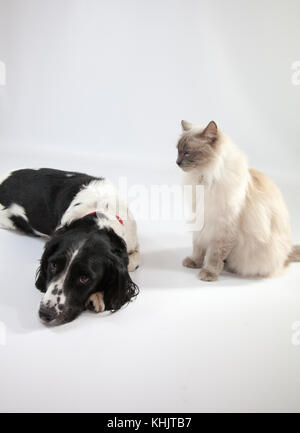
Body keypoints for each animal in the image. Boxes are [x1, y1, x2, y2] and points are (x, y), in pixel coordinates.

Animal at [177, 120, 298, 280]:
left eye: (187, 152)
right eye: (178, 150)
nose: (177, 162)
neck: (204, 177)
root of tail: (287, 253)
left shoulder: (222, 228)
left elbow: (214, 255)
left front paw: (208, 273)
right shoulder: (201, 219)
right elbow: (198, 246)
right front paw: (194, 262)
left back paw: (230, 268)